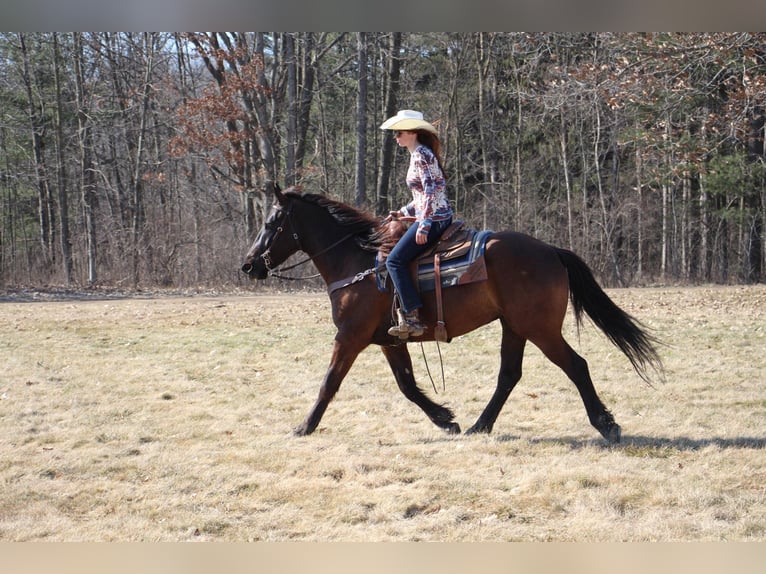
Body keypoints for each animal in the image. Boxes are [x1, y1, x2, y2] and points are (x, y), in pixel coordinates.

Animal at [242, 187, 664, 444]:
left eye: (270, 223)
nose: (248, 265)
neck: (358, 262)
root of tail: (550, 250)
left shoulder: (350, 337)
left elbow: (329, 382)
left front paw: (304, 426)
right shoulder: (389, 340)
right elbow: (408, 385)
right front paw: (446, 418)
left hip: (539, 328)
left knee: (576, 365)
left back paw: (606, 425)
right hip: (514, 327)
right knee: (509, 375)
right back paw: (480, 425)